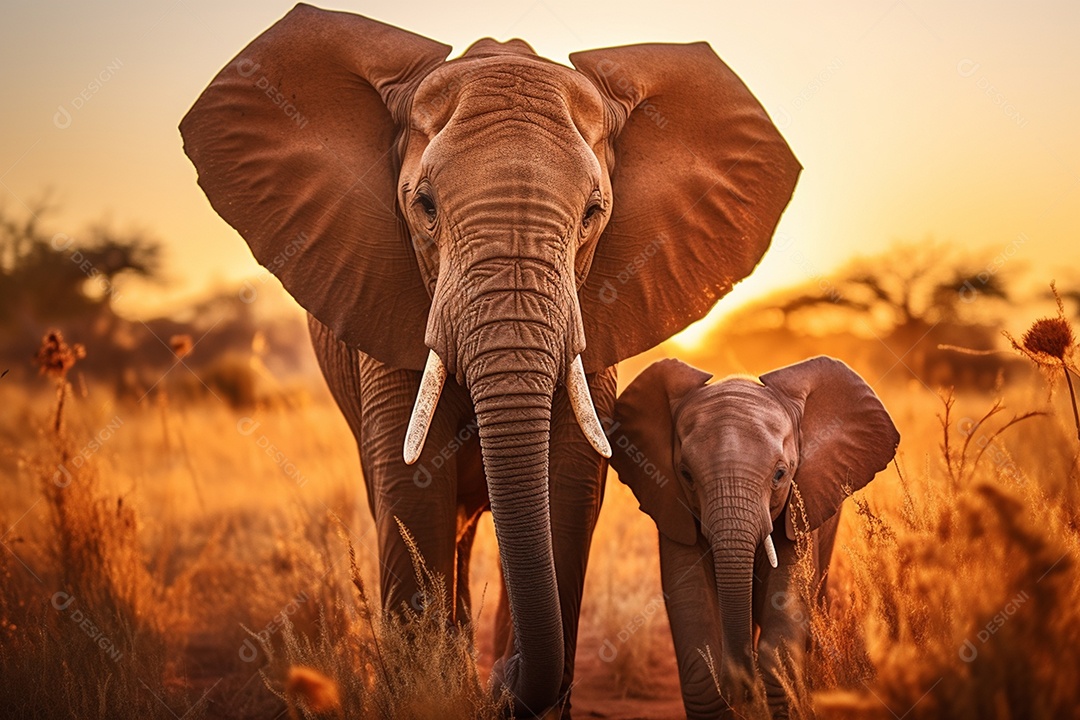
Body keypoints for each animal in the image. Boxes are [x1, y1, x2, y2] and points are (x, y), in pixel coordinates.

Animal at [179, 4, 799, 714]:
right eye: (423, 206)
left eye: (594, 213)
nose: (502, 680)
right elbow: (411, 485)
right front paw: (437, 687)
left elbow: (570, 481)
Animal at [608, 356, 899, 718]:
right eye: (686, 475)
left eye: (780, 474)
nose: (742, 682)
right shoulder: (671, 508)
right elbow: (691, 610)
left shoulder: (800, 506)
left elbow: (786, 612)